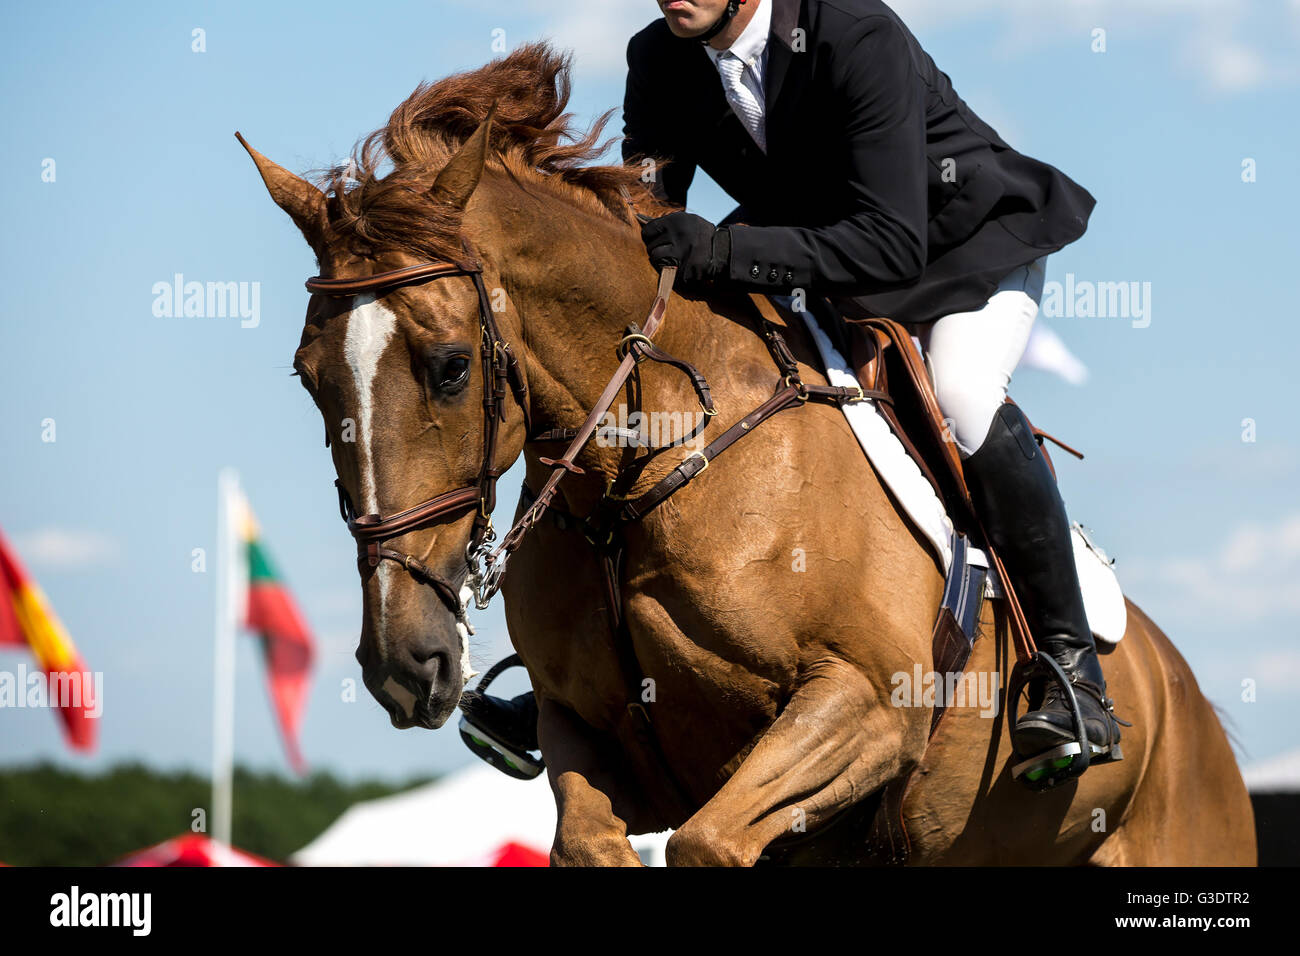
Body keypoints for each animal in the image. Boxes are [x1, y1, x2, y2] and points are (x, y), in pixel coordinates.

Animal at [239, 42, 1253, 868]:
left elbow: (709, 841)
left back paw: (1070, 700)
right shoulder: (582, 729)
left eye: (452, 368)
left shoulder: (865, 707)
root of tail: (1192, 702)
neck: (631, 489)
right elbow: (596, 843)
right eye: (306, 379)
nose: (402, 664)